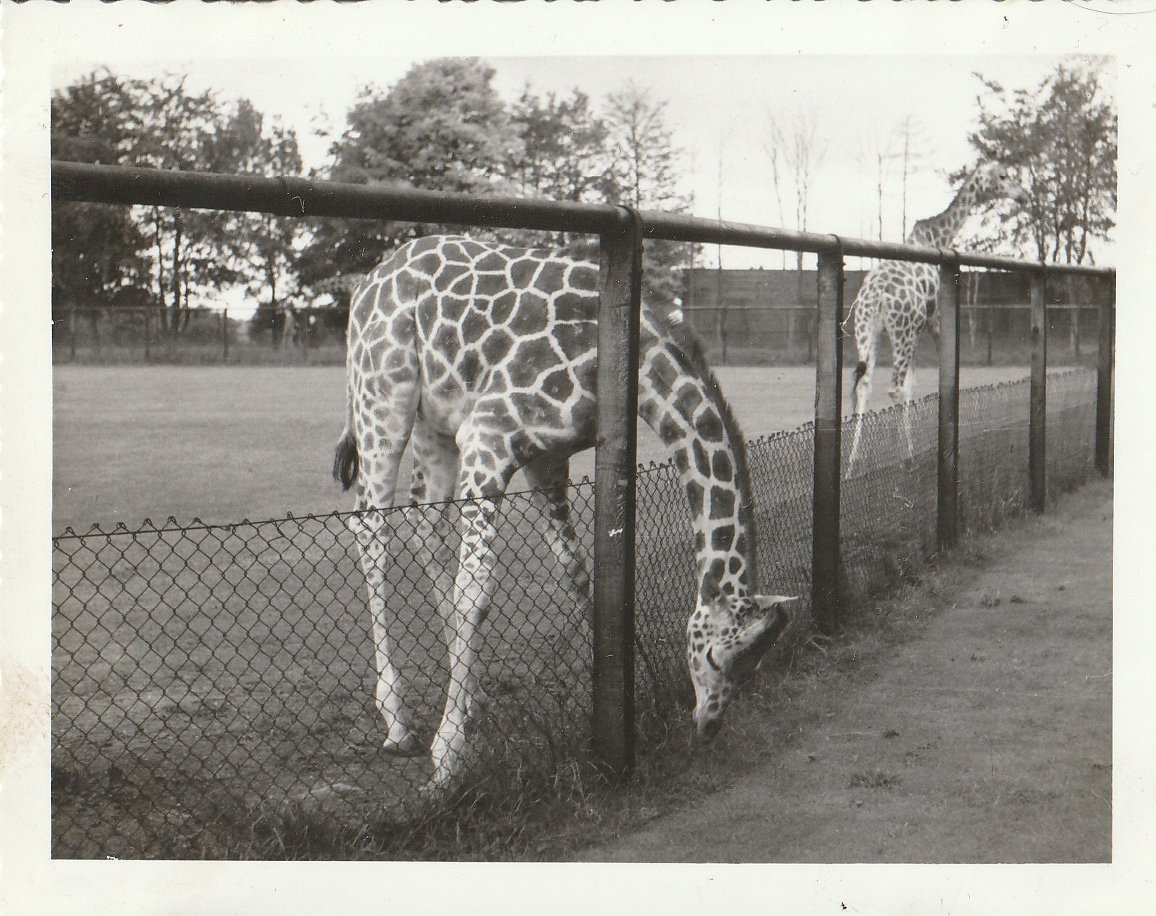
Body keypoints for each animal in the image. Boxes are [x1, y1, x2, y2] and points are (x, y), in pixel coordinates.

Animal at [334, 234, 795, 789]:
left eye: (752, 670)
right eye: (713, 655)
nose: (708, 725)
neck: (630, 362)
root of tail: (369, 281)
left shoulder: (547, 458)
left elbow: (577, 573)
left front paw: (618, 694)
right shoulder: (488, 437)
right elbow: (476, 592)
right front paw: (447, 756)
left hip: (435, 421)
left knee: (425, 523)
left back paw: (470, 697)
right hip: (382, 396)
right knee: (371, 528)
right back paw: (398, 721)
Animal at [846, 162, 1030, 473]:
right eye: (1003, 175)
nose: (1023, 195)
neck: (938, 237)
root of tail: (876, 295)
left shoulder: (918, 329)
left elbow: (914, 383)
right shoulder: (934, 322)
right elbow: (932, 381)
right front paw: (913, 450)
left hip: (867, 331)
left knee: (865, 385)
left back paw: (851, 464)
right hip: (901, 332)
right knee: (894, 387)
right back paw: (905, 457)